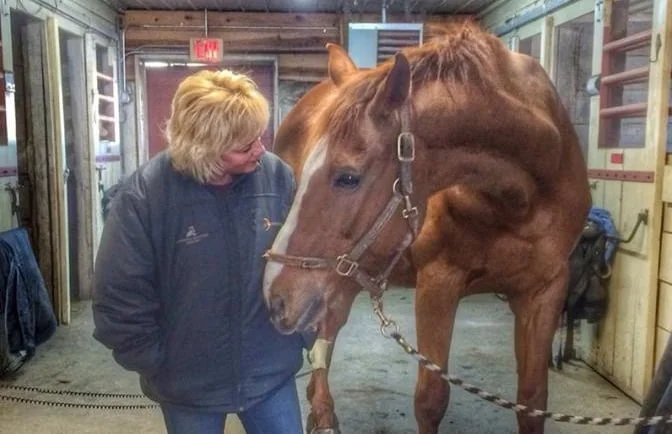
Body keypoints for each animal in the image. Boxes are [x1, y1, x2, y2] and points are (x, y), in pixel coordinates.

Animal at [264, 21, 591, 434]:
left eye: (348, 178)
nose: (274, 293)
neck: (522, 199)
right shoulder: (439, 282)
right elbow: (431, 399)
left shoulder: (545, 290)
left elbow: (532, 401)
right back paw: (322, 412)